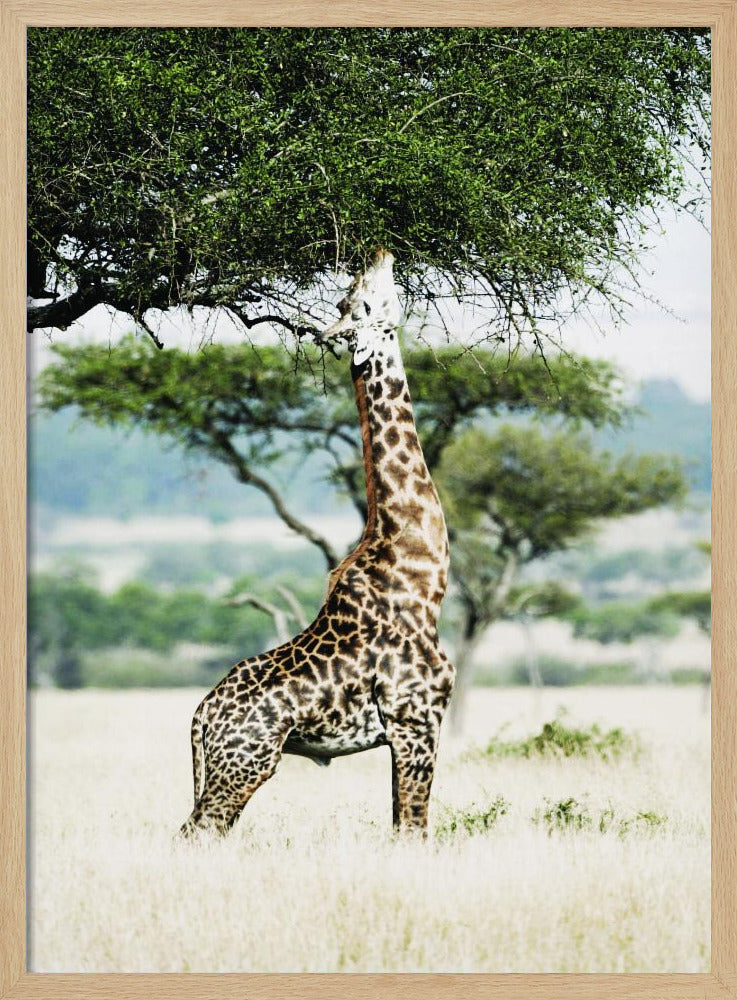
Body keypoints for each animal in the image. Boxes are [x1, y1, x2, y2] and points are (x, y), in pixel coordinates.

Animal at [178, 249, 454, 838]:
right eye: (363, 301)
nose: (379, 252)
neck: (422, 578)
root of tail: (201, 716)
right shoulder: (417, 718)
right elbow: (415, 830)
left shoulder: (404, 731)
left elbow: (400, 826)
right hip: (246, 764)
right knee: (196, 833)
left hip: (228, 766)